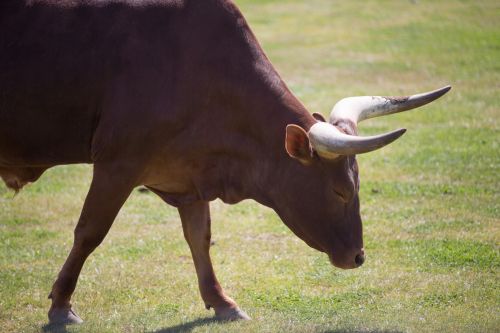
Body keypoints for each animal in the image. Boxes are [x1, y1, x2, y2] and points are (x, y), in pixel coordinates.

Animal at [0, 0, 452, 322]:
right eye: (341, 191)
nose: (358, 256)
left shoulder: (187, 173)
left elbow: (199, 236)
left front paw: (222, 302)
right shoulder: (117, 164)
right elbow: (89, 232)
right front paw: (61, 305)